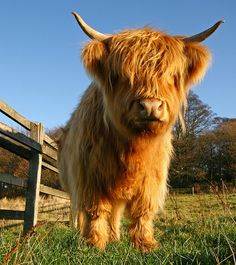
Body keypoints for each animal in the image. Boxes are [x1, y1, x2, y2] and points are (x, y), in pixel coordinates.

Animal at [57, 12, 223, 251]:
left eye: (171, 74)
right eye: (124, 75)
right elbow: (96, 210)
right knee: (81, 212)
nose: (151, 106)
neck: (133, 146)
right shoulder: (90, 176)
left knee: (115, 212)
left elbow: (142, 210)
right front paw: (94, 243)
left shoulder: (151, 178)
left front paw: (145, 244)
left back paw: (115, 237)